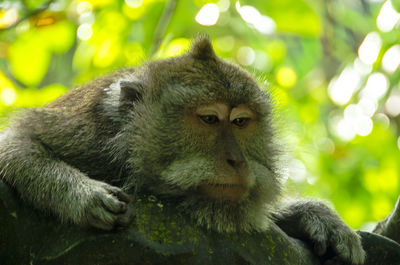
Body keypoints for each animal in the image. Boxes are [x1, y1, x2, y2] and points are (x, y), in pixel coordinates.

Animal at [0, 36, 364, 262]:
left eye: (241, 122)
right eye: (209, 119)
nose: (237, 160)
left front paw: (318, 217)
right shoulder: (88, 132)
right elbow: (15, 144)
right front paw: (85, 196)